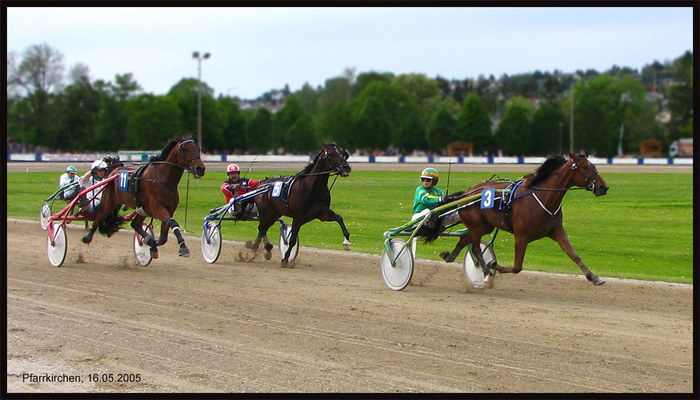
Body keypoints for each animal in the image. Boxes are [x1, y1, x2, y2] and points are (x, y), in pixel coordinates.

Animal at [424, 152, 608, 286]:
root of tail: (467, 192)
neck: (542, 196)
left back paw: (451, 256)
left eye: (594, 166)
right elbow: (517, 267)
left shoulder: (556, 231)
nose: (603, 187)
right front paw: (493, 266)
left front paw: (594, 277)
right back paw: (485, 268)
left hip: (484, 226)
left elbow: (574, 255)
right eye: (585, 167)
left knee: (466, 238)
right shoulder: (521, 236)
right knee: (476, 248)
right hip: (477, 224)